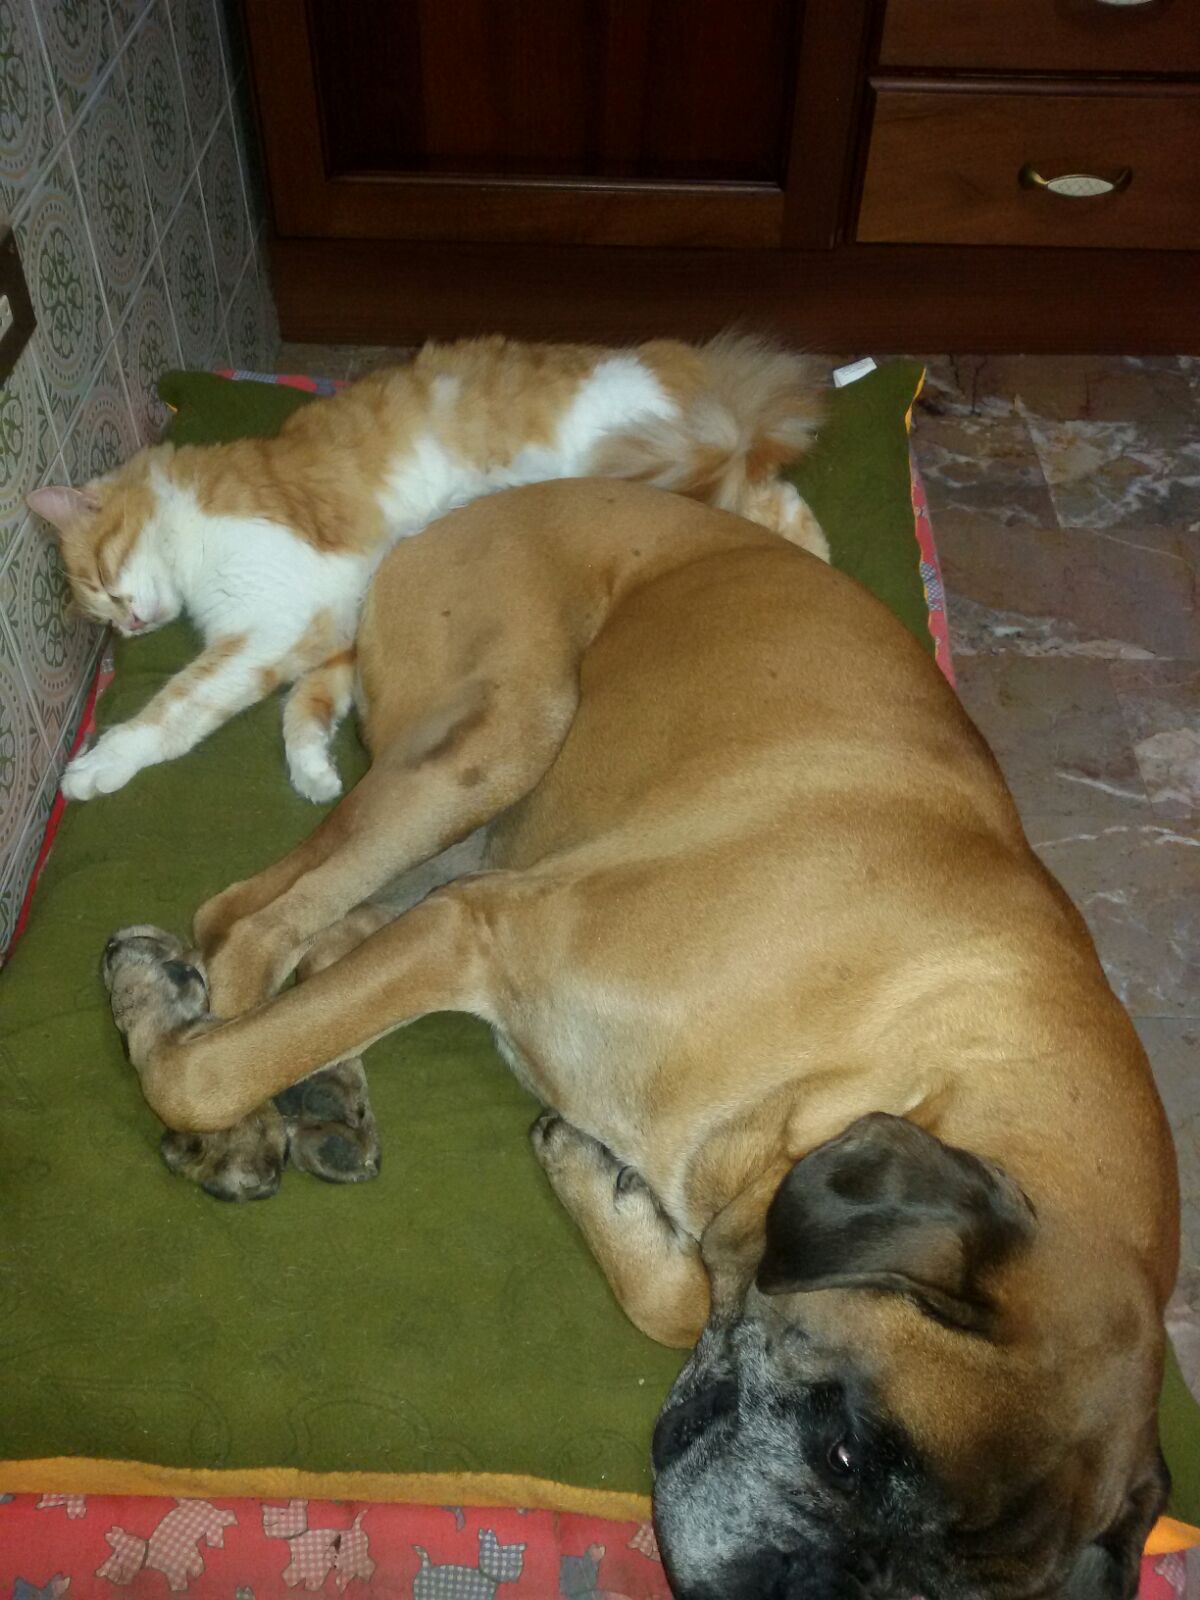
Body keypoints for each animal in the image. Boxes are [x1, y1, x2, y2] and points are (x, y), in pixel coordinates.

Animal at [27, 333, 828, 804]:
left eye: (100, 581)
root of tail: (687, 359)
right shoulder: (325, 626)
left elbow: (177, 708)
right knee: (771, 492)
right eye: (102, 611)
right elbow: (302, 709)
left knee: (768, 489)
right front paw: (314, 771)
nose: (130, 622)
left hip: (646, 458)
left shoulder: (270, 620)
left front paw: (98, 764)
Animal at [103, 479, 1178, 1599]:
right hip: (501, 738)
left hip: (480, 827)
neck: (894, 1051)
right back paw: (232, 1104)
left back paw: (324, 1090)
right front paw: (201, 1081)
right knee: (250, 921)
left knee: (311, 934)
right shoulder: (479, 930)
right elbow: (206, 1074)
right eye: (845, 1451)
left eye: (945, 1595)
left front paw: (605, 1187)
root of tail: (471, 507)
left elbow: (688, 1297)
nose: (777, 1593)